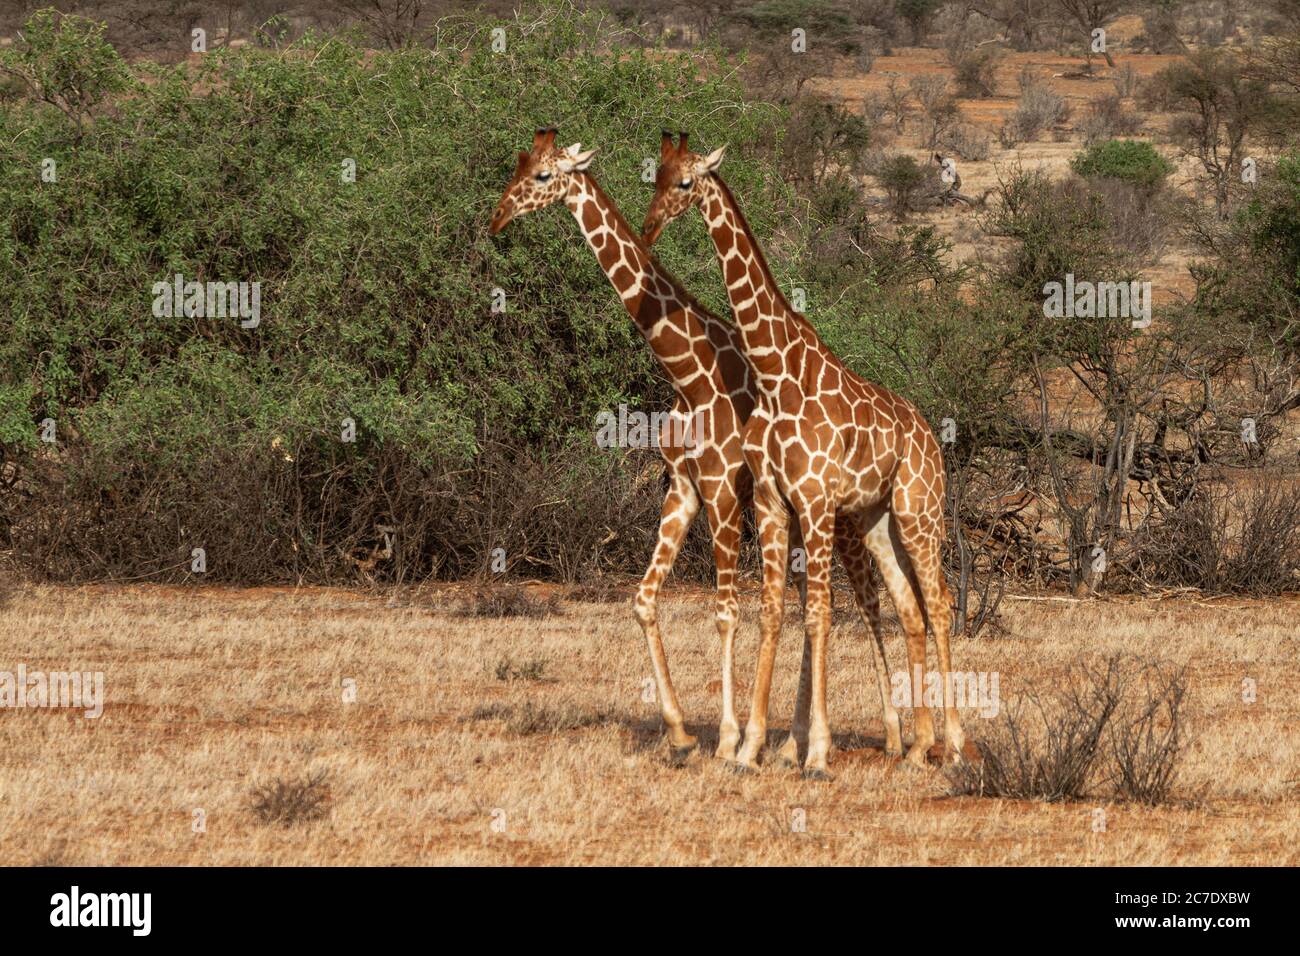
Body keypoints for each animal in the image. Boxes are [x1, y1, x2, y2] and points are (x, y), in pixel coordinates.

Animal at [489, 129, 905, 763]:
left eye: (542, 176)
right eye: (518, 165)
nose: (496, 217)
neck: (690, 375)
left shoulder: (725, 490)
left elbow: (727, 612)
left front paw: (729, 737)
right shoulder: (682, 487)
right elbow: (644, 598)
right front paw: (682, 730)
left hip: (840, 515)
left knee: (861, 599)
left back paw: (886, 736)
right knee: (807, 600)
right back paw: (795, 741)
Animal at [643, 133, 965, 775]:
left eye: (687, 182)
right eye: (656, 177)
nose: (650, 226)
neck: (775, 370)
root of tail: (930, 435)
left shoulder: (813, 502)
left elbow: (817, 612)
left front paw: (814, 751)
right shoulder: (771, 502)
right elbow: (771, 610)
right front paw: (748, 748)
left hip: (920, 513)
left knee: (940, 604)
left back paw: (956, 744)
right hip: (877, 521)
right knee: (910, 609)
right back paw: (919, 746)